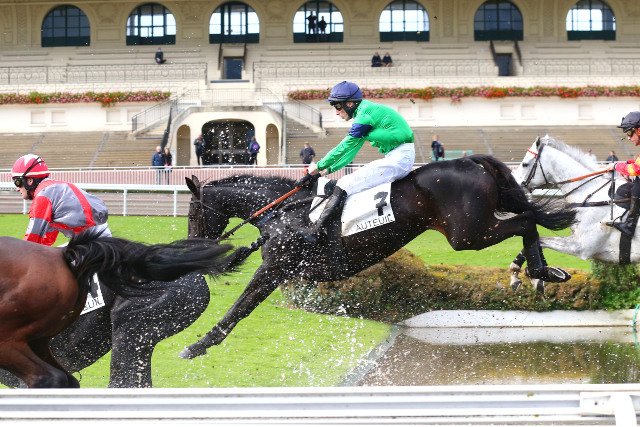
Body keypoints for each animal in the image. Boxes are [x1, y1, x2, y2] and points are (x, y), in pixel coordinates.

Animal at [179, 154, 577, 359]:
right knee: (528, 222)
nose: (193, 246)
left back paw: (536, 270)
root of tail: (472, 162)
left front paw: (198, 345)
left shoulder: (275, 267)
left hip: (468, 234)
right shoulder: (288, 271)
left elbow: (240, 307)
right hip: (473, 230)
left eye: (193, 212)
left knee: (526, 221)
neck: (286, 213)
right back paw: (545, 272)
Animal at [511, 135, 638, 267]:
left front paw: (519, 267)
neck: (588, 194)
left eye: (525, 164)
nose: (513, 183)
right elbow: (538, 242)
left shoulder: (579, 247)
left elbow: (540, 241)